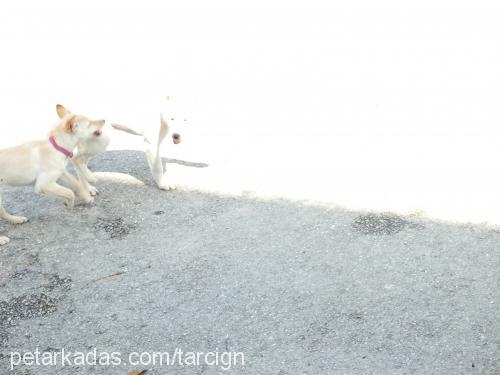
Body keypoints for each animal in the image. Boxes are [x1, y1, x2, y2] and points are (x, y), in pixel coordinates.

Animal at [0, 106, 104, 247]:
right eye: (89, 123)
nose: (104, 120)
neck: (57, 146)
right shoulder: (43, 185)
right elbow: (69, 192)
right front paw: (69, 204)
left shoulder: (61, 172)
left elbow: (76, 184)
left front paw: (87, 197)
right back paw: (2, 238)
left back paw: (16, 219)